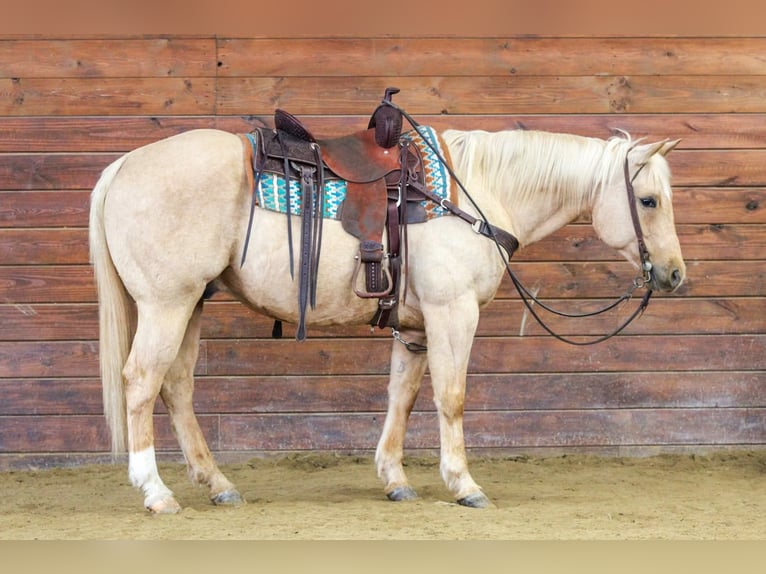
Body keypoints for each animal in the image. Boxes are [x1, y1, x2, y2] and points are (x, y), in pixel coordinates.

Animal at [89, 123, 686, 513]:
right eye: (649, 201)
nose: (675, 274)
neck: (476, 195)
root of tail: (122, 166)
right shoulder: (453, 314)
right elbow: (452, 398)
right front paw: (464, 484)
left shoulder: (416, 328)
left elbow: (403, 395)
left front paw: (395, 478)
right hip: (167, 304)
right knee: (141, 382)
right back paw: (157, 492)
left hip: (190, 304)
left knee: (177, 388)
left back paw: (216, 483)